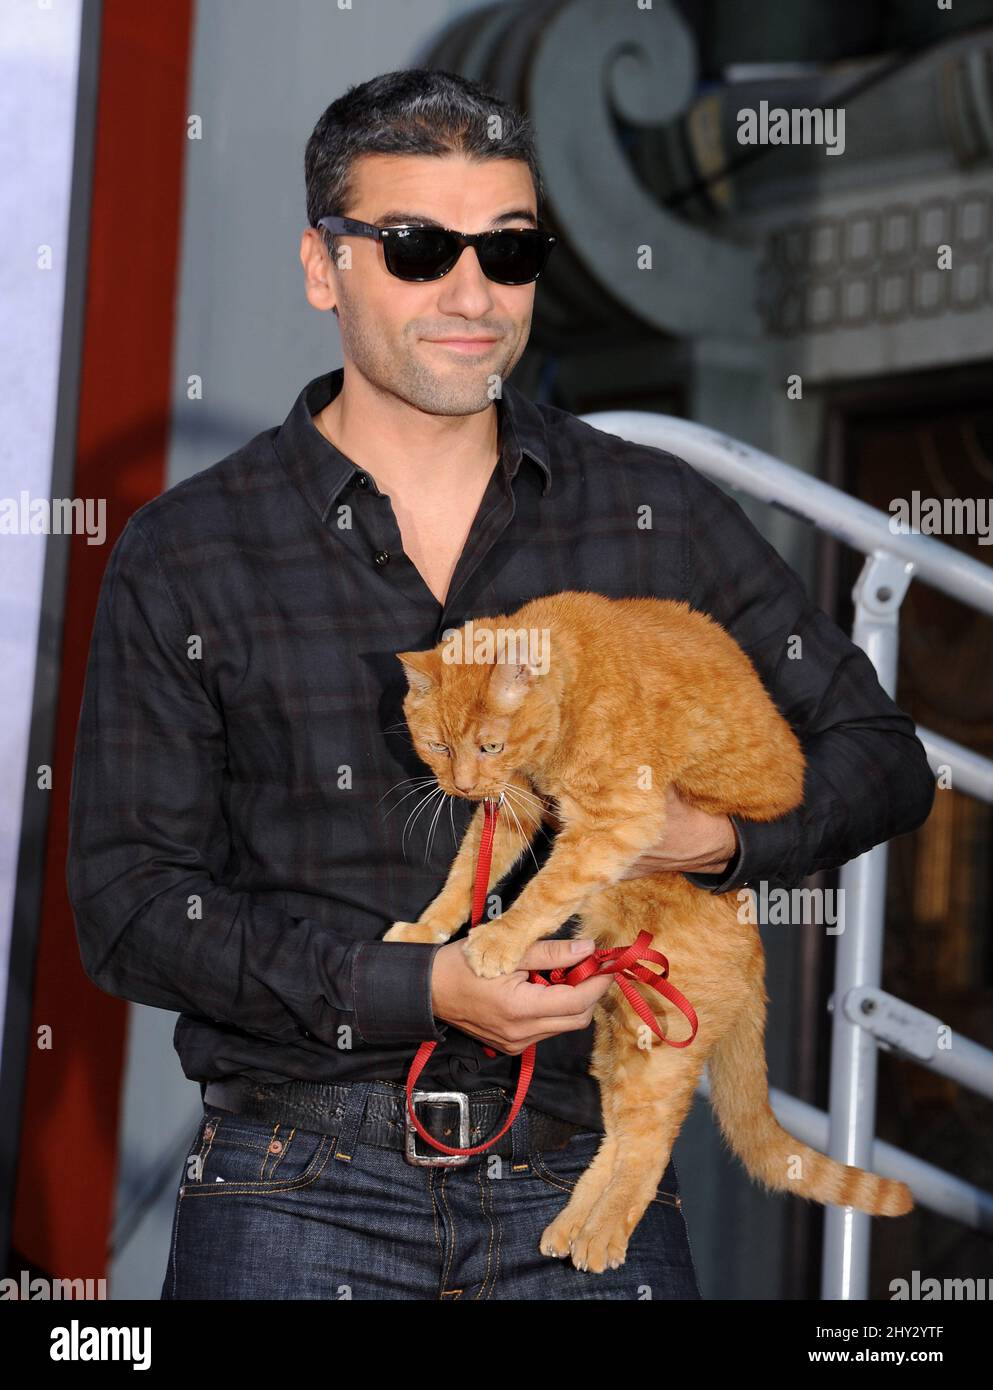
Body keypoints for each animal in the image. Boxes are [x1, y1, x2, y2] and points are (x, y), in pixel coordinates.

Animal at [383, 586, 906, 1273]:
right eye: (440, 747)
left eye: (488, 746)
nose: (462, 785)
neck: (573, 685)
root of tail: (754, 947)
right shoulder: (518, 805)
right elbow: (468, 873)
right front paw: (426, 932)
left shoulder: (614, 822)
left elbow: (545, 888)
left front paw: (495, 942)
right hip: (620, 1037)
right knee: (618, 1140)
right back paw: (571, 1227)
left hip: (661, 1042)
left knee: (649, 1147)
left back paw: (601, 1237)